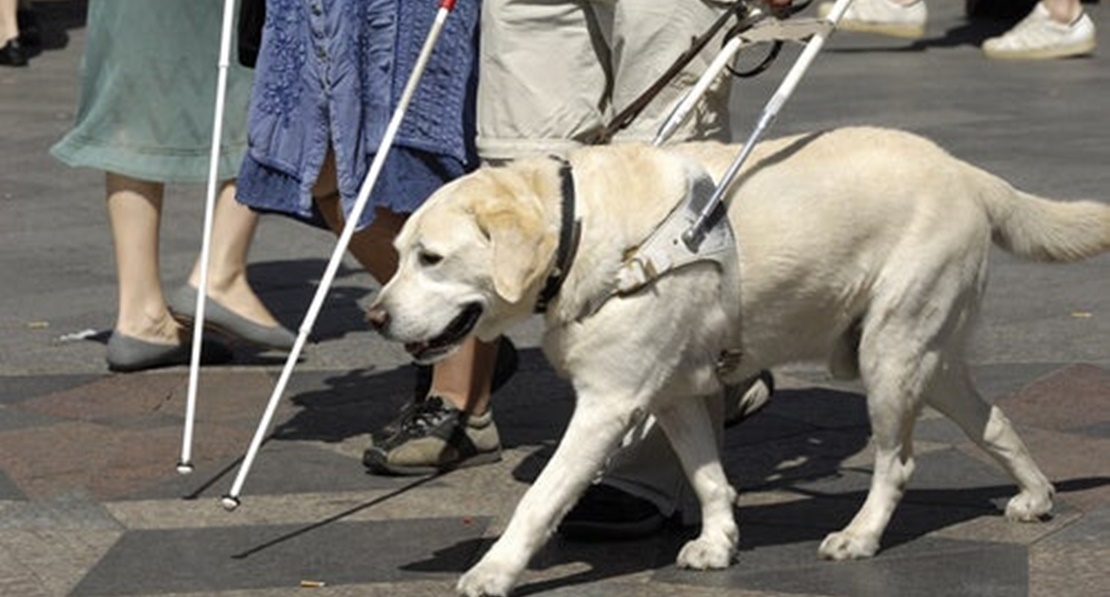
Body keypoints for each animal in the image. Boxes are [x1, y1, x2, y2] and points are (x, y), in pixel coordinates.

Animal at [368, 126, 1110, 594]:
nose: (374, 317)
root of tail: (966, 170)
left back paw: (861, 535)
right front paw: (720, 541)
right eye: (399, 253)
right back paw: (1035, 495)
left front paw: (494, 571)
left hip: (891, 354)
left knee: (897, 463)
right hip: (930, 358)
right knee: (994, 420)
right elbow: (708, 479)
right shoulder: (672, 394)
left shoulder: (608, 404)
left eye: (431, 257)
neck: (586, 232)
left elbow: (540, 497)